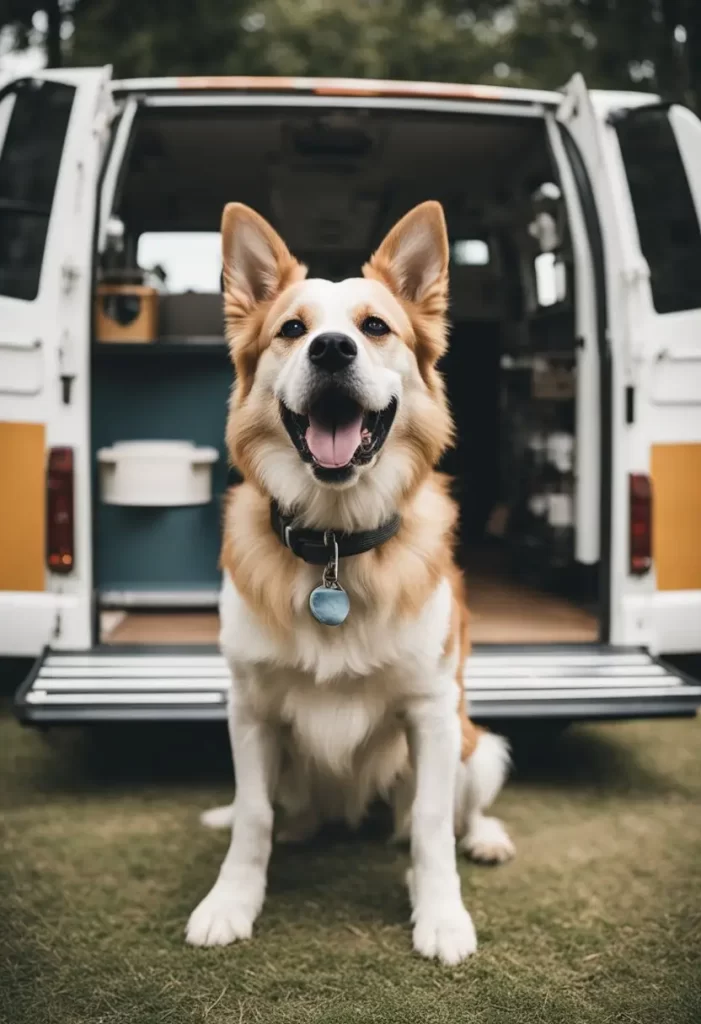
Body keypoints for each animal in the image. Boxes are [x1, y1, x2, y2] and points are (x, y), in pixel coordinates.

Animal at [186, 201, 513, 966]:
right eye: (291, 329)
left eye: (374, 327)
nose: (332, 350)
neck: (335, 541)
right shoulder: (250, 710)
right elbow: (254, 818)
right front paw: (230, 901)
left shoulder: (431, 712)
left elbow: (431, 826)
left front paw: (441, 916)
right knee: (279, 813)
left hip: (477, 747)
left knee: (457, 810)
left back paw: (485, 838)